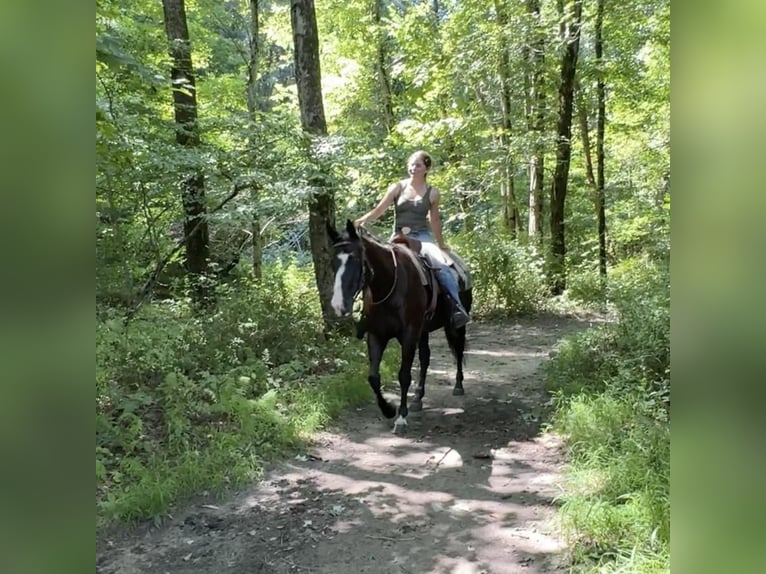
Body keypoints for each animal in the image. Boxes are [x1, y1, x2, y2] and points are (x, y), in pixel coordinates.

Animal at [326, 220, 474, 436]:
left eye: (355, 258)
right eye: (332, 262)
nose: (338, 305)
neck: (389, 284)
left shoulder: (409, 335)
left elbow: (404, 375)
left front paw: (401, 418)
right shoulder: (377, 335)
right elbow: (373, 377)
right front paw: (388, 409)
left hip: (454, 326)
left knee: (459, 349)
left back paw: (458, 385)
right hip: (423, 331)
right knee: (426, 358)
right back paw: (418, 398)